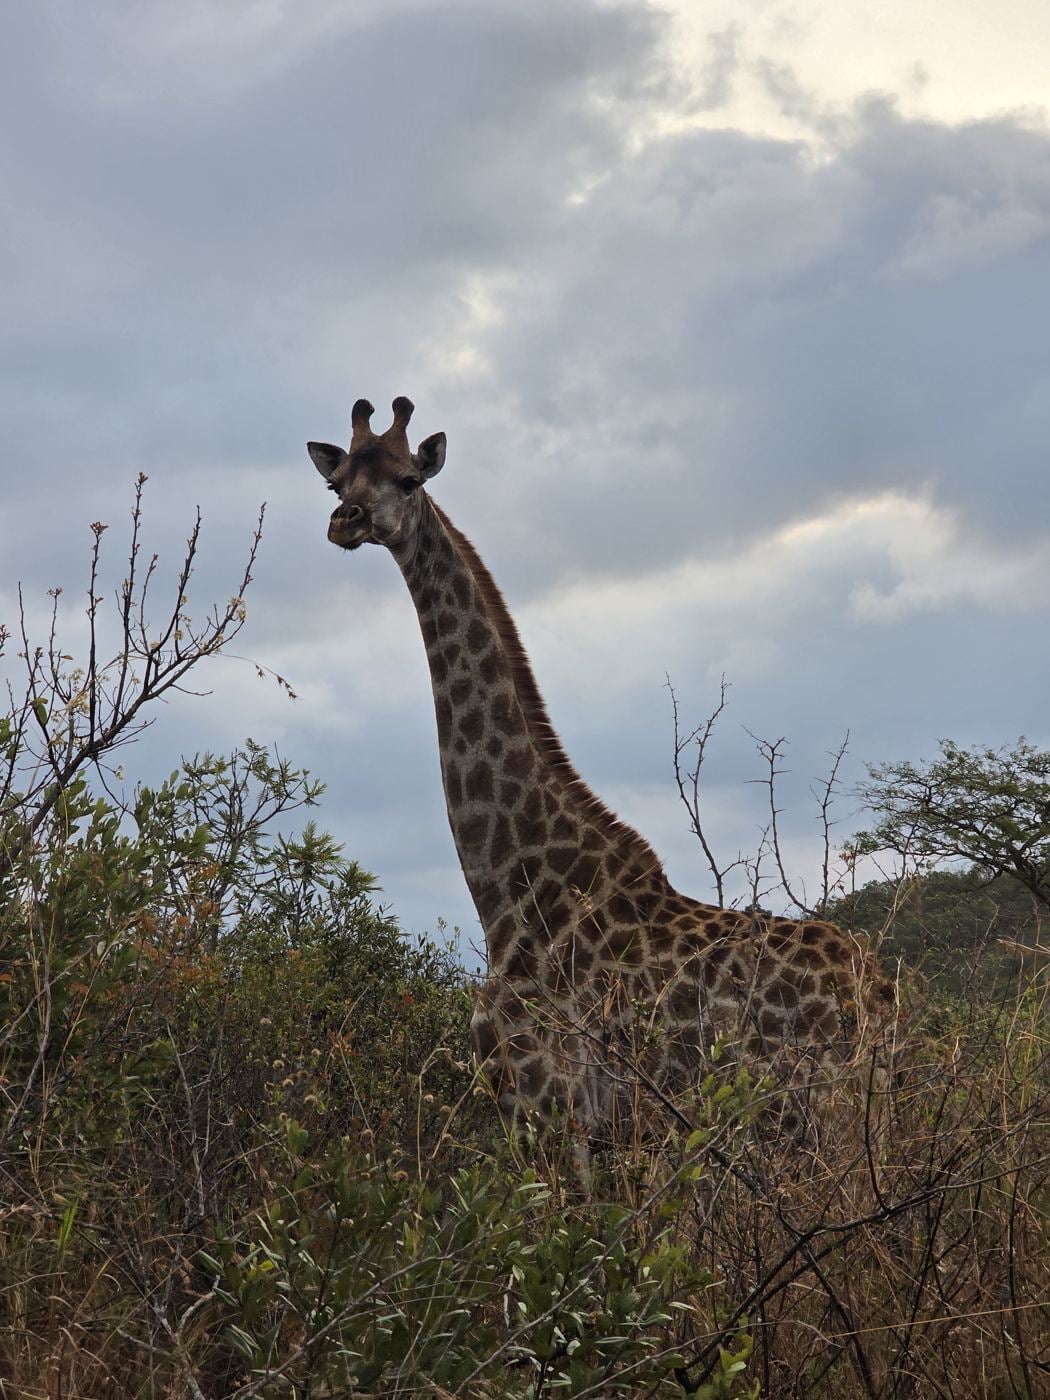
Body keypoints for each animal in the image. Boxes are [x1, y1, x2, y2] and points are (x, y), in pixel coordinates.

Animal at [308, 397, 896, 1146]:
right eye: (336, 483)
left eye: (409, 480)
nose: (346, 521)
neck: (511, 894)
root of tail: (878, 991)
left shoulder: (549, 1106)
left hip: (819, 1113)